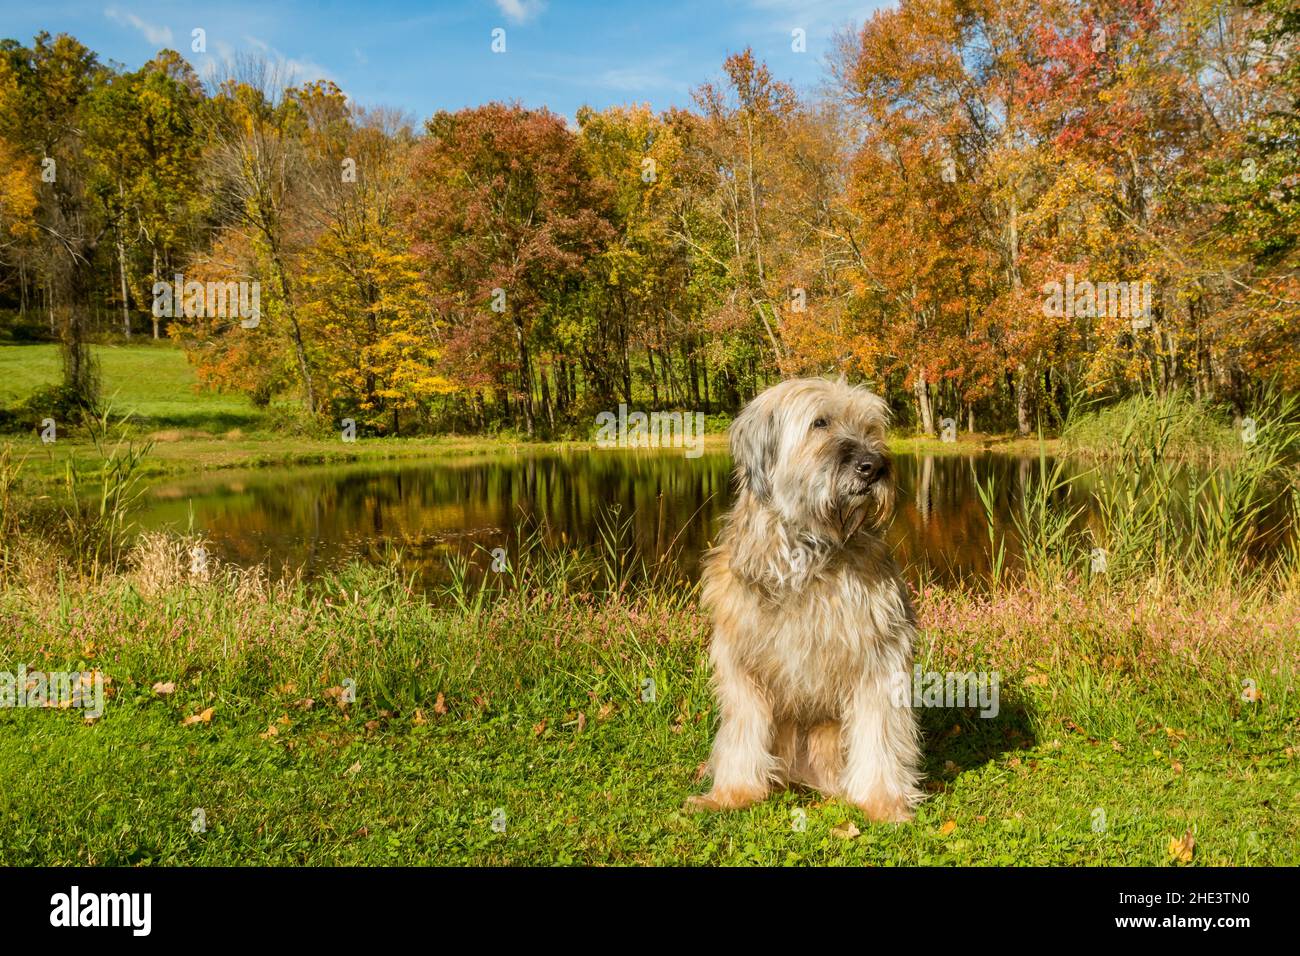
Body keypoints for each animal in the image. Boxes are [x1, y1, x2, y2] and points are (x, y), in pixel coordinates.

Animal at [691, 377, 925, 816]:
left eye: (870, 426)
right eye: (820, 423)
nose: (874, 466)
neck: (807, 550)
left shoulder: (880, 655)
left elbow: (879, 734)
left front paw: (882, 802)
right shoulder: (741, 664)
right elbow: (743, 730)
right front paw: (732, 794)